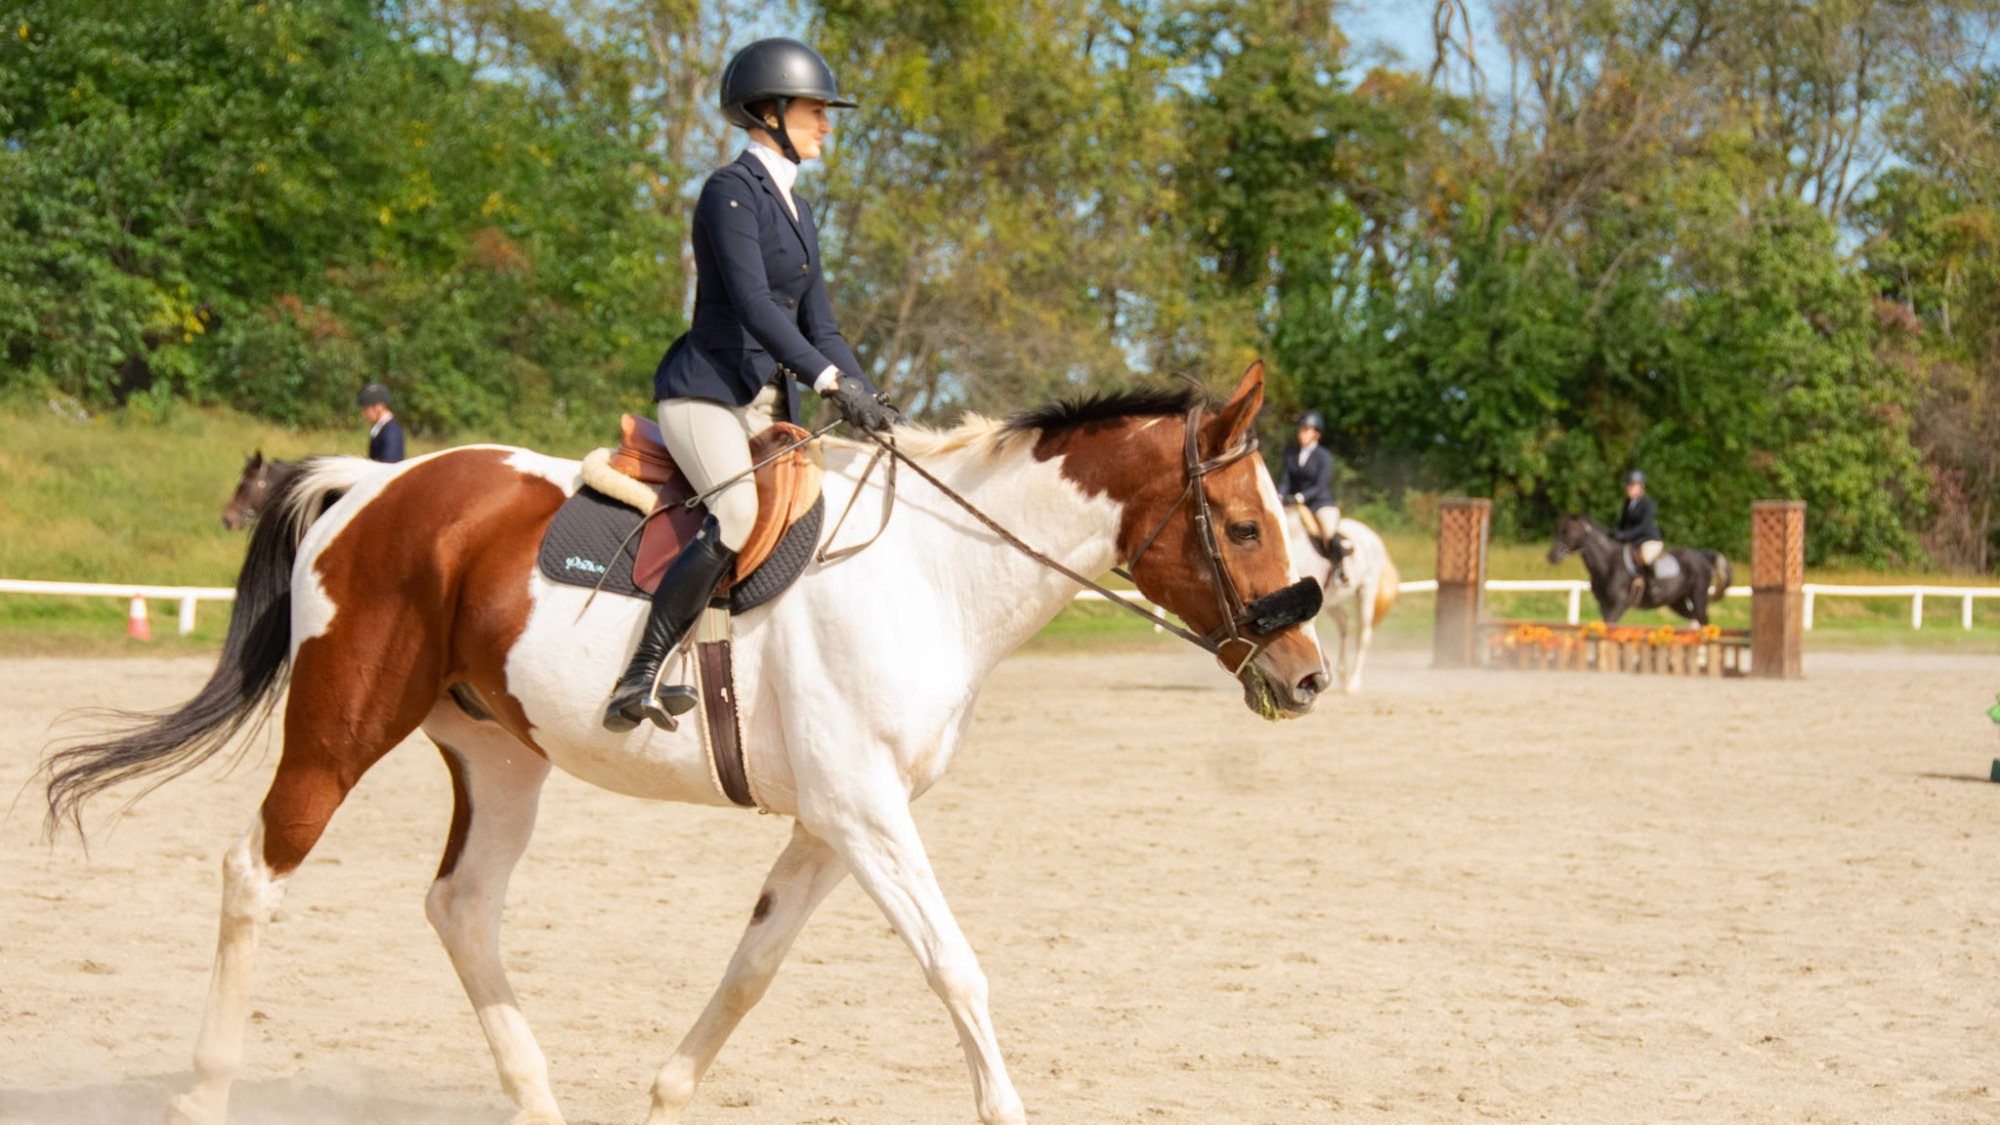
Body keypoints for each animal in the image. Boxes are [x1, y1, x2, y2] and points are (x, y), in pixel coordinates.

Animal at [40, 362, 1328, 1125]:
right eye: (1243, 526)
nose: (1308, 676)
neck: (931, 572)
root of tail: (375, 484)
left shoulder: (834, 822)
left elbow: (753, 965)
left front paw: (664, 1094)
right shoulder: (866, 816)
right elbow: (955, 968)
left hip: (500, 757)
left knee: (461, 906)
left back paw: (536, 1101)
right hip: (342, 726)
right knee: (253, 875)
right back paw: (204, 1095)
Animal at [1284, 508, 1399, 694]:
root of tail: (1372, 535)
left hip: (1365, 594)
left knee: (1362, 637)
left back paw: (1353, 683)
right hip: (1332, 602)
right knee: (1344, 623)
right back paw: (1343, 675)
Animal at [1546, 513, 1733, 626]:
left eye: (1571, 531)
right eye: (1559, 529)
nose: (1552, 556)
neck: (1608, 564)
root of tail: (1702, 556)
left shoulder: (1618, 605)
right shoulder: (1604, 606)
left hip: (1698, 596)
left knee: (1703, 620)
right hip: (1677, 602)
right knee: (1694, 619)